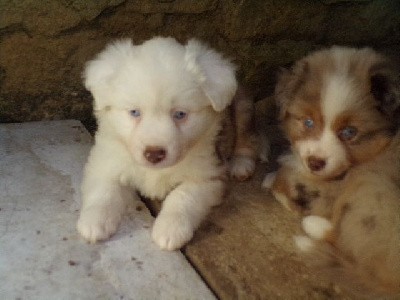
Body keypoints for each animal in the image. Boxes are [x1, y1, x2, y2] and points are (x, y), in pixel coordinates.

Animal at [76, 36, 238, 250]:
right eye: (134, 112)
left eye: (180, 114)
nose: (153, 154)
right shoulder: (105, 161)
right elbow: (104, 190)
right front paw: (94, 221)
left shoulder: (209, 177)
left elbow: (183, 196)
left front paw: (170, 229)